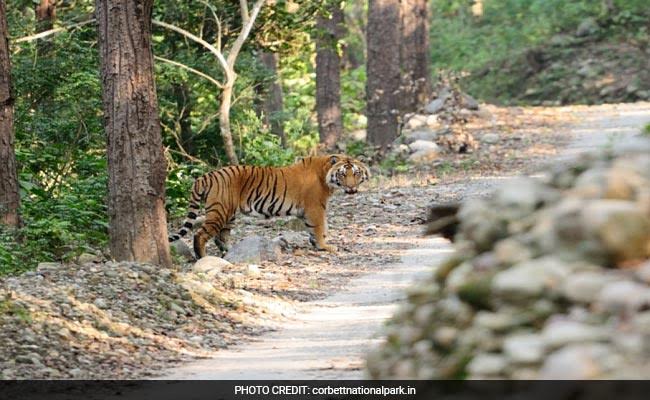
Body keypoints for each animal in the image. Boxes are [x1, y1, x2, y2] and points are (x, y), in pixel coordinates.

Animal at [167, 153, 370, 260]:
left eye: (356, 173)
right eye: (343, 174)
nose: (352, 188)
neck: (325, 174)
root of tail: (206, 176)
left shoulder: (307, 211)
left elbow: (315, 229)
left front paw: (316, 243)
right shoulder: (315, 208)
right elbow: (320, 227)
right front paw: (324, 246)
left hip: (228, 214)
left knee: (221, 237)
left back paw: (230, 252)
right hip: (220, 211)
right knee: (200, 234)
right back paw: (203, 257)